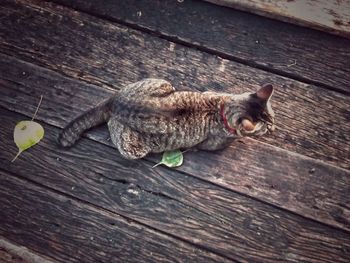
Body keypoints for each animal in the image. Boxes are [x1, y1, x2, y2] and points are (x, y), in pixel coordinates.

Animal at [58, 78, 276, 160]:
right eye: (265, 128)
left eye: (273, 118)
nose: (274, 129)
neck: (222, 108)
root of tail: (115, 101)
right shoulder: (213, 143)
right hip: (133, 148)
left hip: (161, 82)